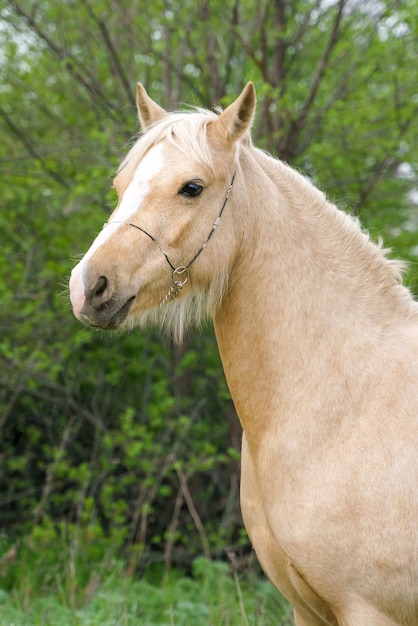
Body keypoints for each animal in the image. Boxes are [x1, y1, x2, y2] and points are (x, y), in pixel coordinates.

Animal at [70, 84, 418, 624]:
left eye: (191, 187)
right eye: (120, 184)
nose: (87, 288)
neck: (347, 402)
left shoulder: (369, 610)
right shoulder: (305, 611)